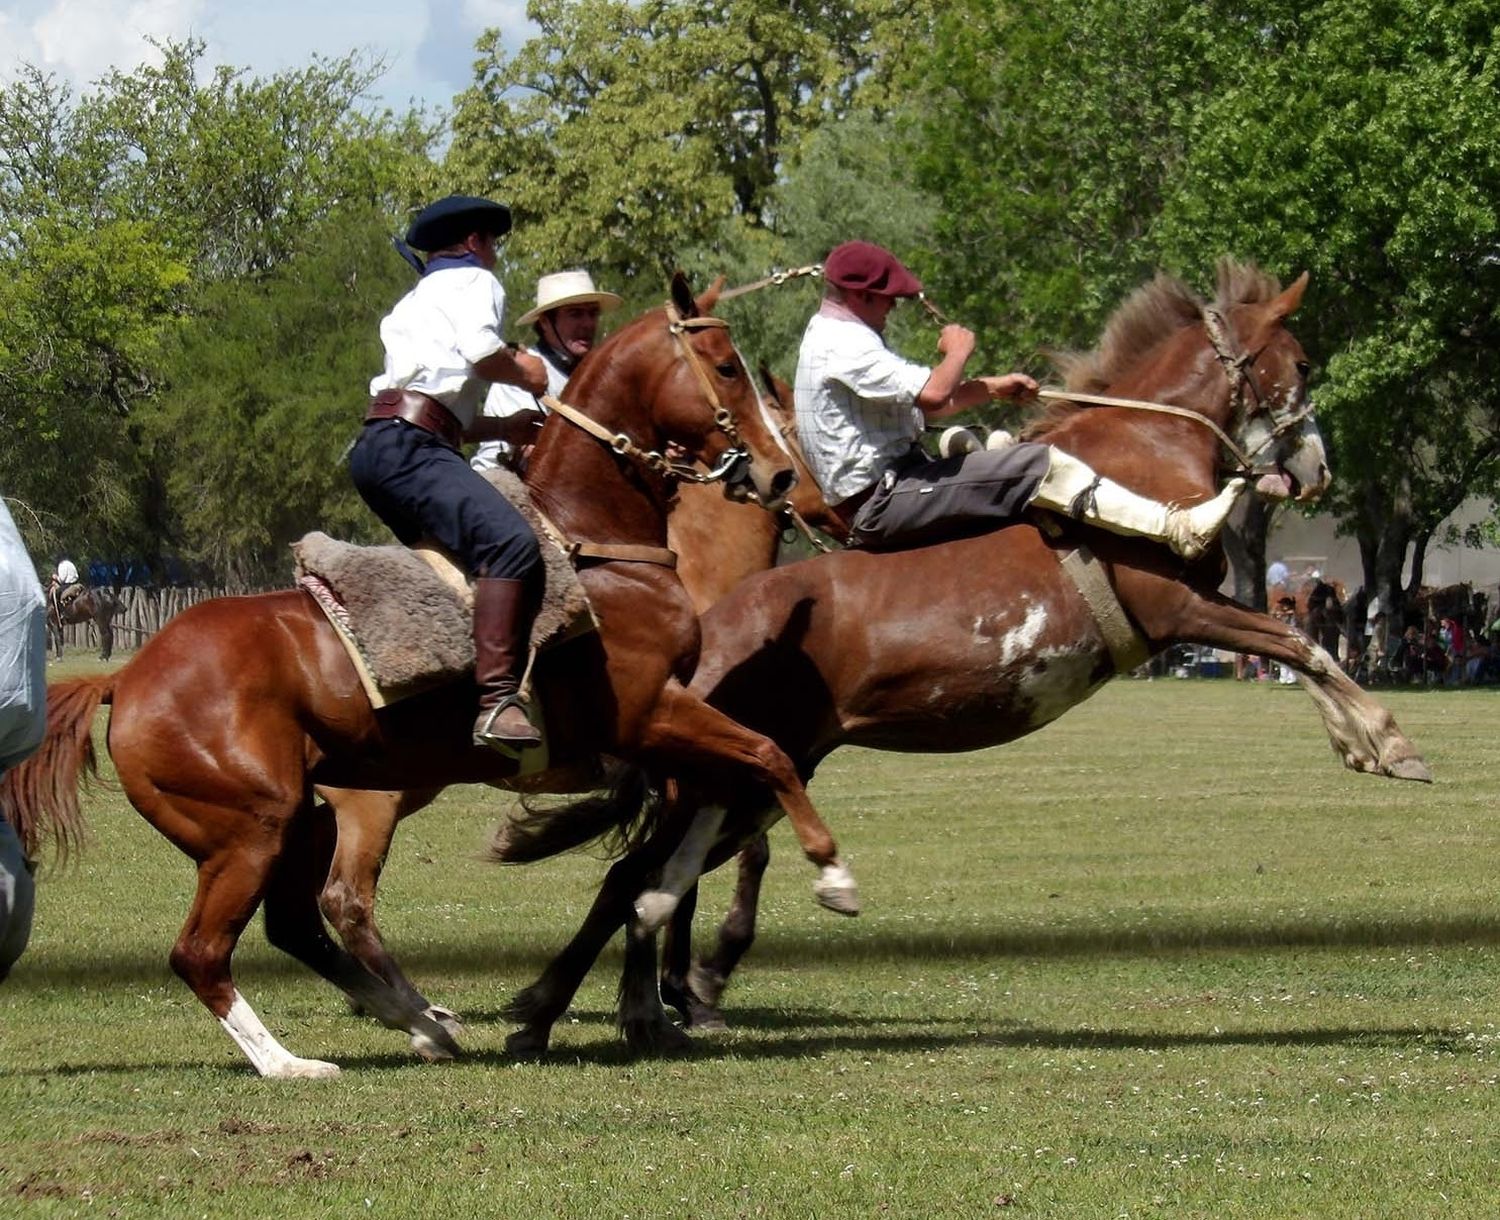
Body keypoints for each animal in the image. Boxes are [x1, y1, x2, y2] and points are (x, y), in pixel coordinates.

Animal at [0, 273, 846, 1074]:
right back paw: (296, 1062)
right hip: (260, 828)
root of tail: (126, 679)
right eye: (727, 367)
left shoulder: (658, 747)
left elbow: (697, 828)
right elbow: (761, 766)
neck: (600, 543)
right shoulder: (650, 717)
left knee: (299, 924)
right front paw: (827, 876)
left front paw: (649, 992)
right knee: (216, 948)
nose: (784, 482)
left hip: (300, 818)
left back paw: (421, 1022)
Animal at [489, 259, 1428, 1056]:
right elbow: (1300, 642)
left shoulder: (1202, 612)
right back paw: (591, 1007)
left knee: (647, 883)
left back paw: (595, 1010)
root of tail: (708, 634)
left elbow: (1297, 649)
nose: (1316, 466)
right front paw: (1388, 742)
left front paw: (1366, 743)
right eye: (1301, 361)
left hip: (746, 779)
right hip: (724, 775)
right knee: (637, 880)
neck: (1146, 454)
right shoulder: (1181, 610)